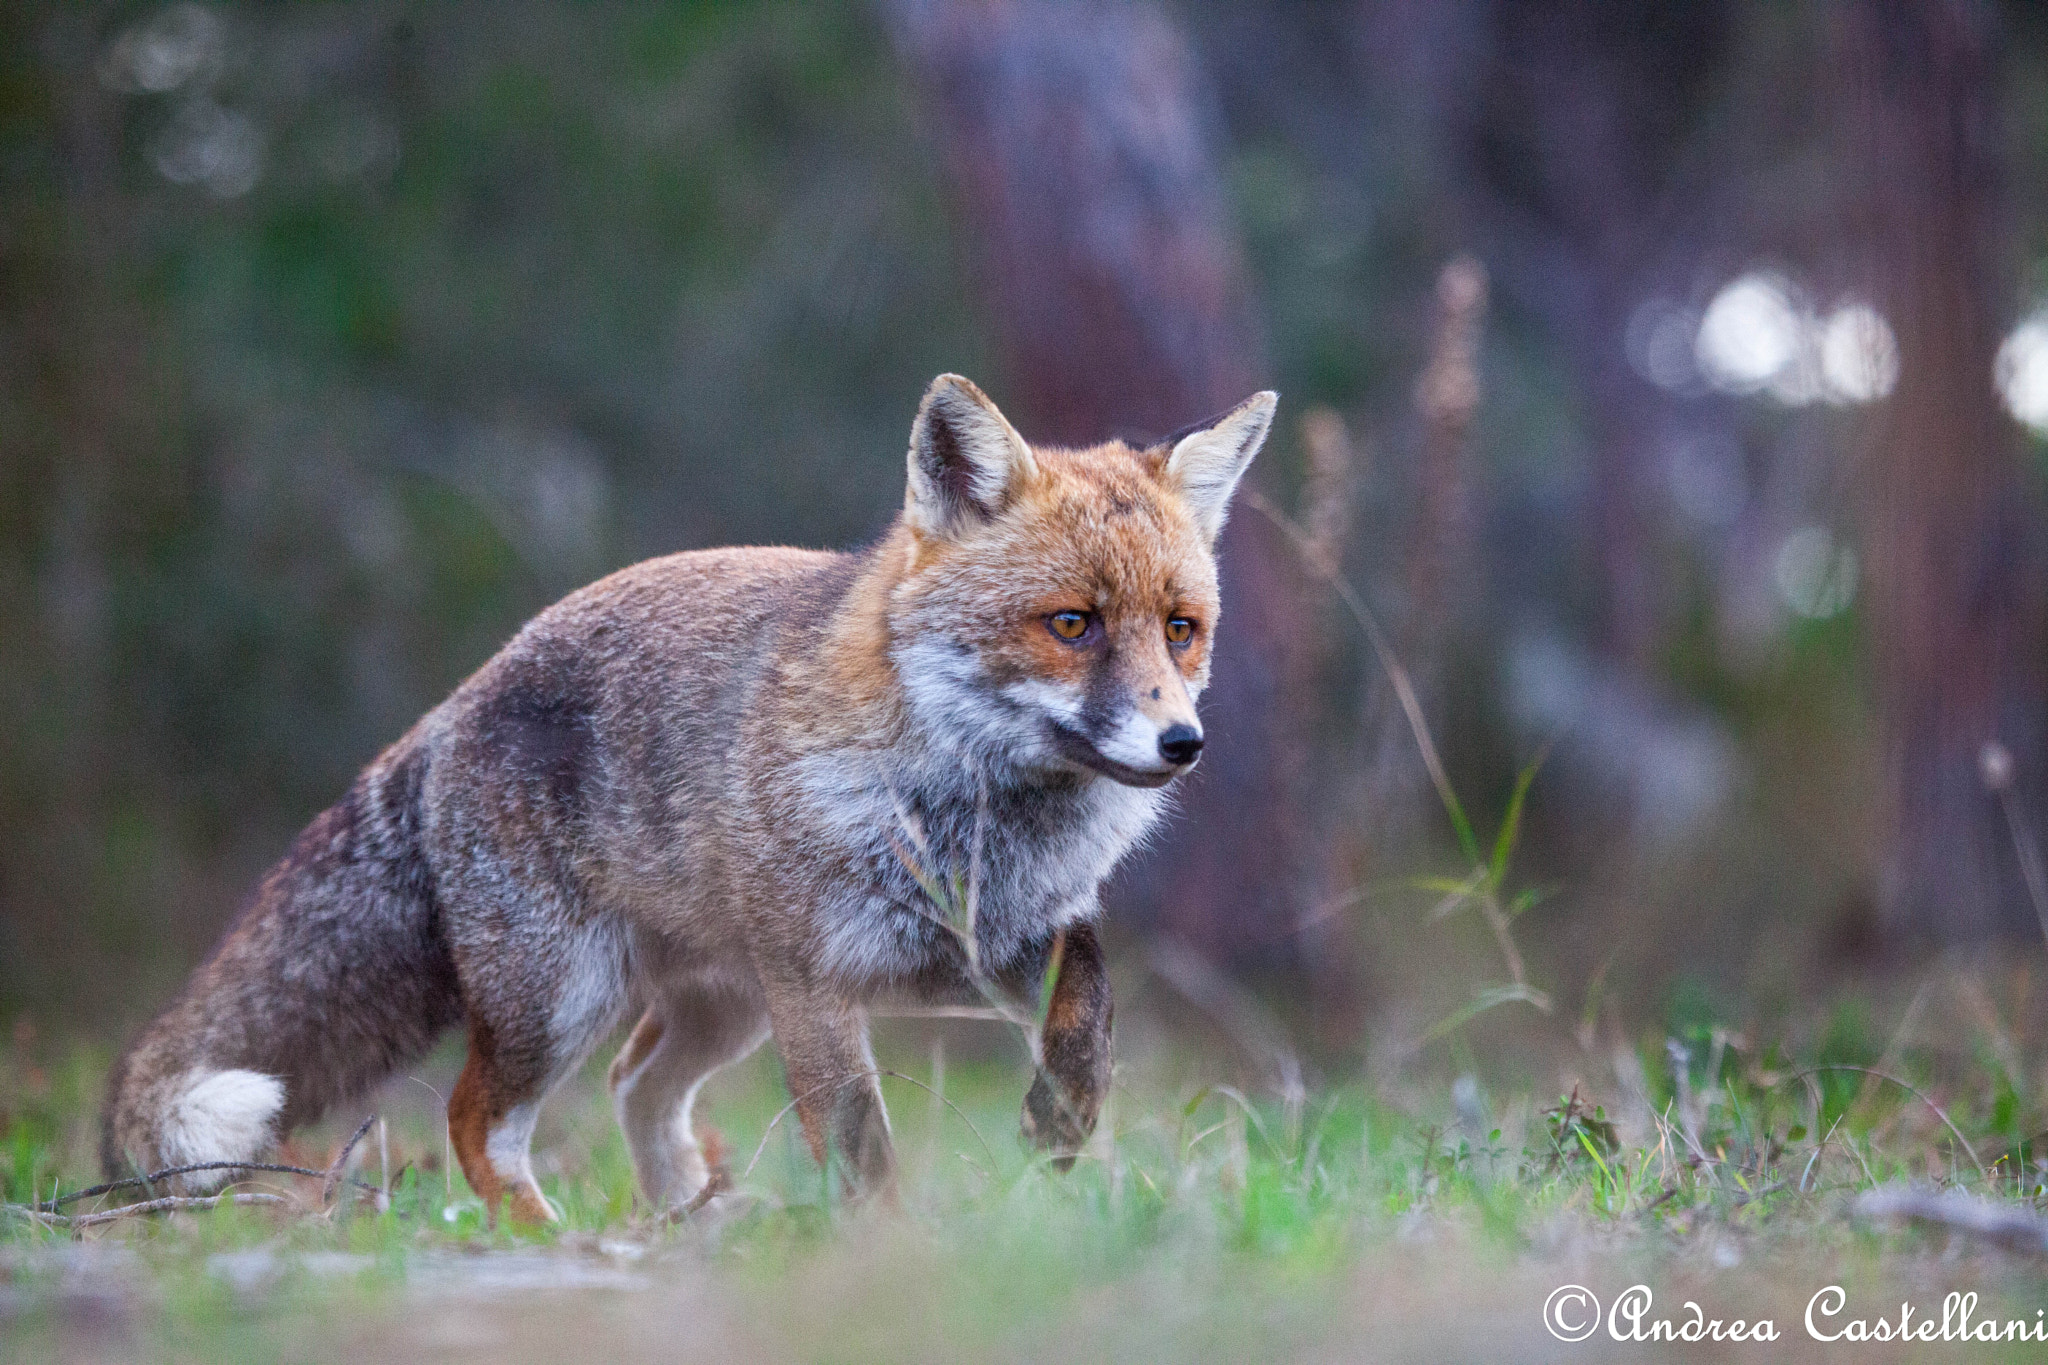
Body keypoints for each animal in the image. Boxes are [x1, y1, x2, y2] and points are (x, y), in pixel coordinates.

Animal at [101, 374, 1277, 1223]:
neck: (969, 819)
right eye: (1072, 623)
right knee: (478, 1123)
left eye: (1180, 628)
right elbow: (860, 1146)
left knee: (636, 1089)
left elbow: (1091, 1008)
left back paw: (687, 1225)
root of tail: (452, 704)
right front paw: (889, 1258)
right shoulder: (818, 981)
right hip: (561, 1000)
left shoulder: (1000, 945)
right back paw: (562, 1244)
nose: (1182, 743)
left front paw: (1059, 1126)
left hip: (715, 1008)